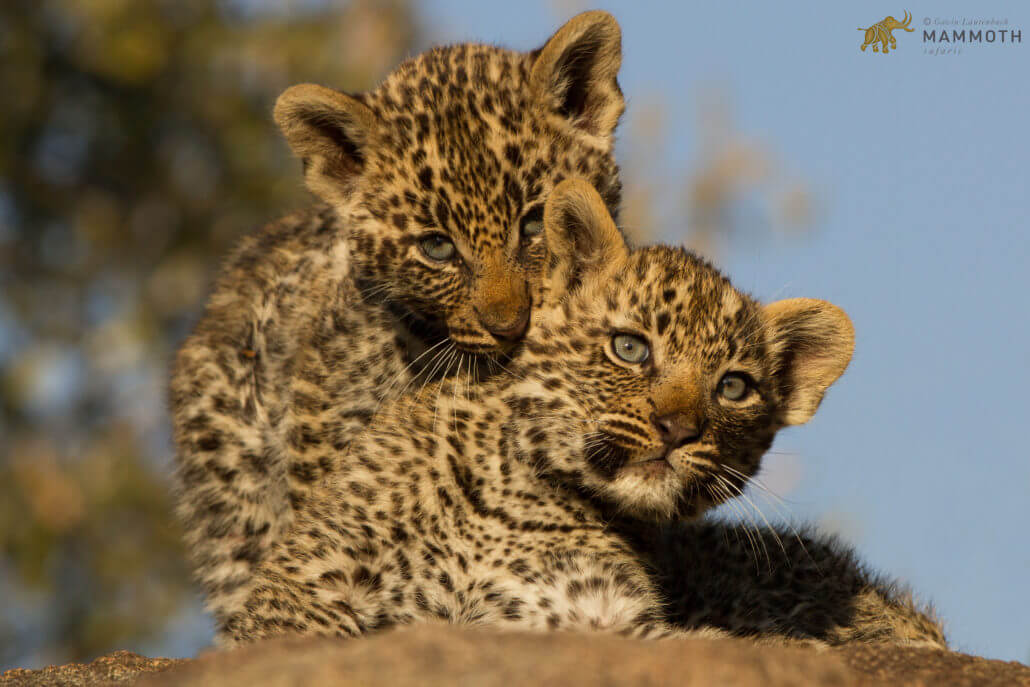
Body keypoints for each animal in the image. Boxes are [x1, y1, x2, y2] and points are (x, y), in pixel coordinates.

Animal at [224, 178, 947, 650]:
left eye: (734, 387)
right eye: (630, 348)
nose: (680, 429)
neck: (514, 494)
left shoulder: (595, 614)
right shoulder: (309, 581)